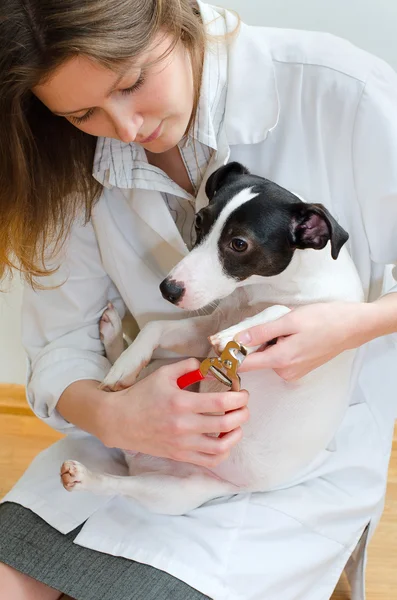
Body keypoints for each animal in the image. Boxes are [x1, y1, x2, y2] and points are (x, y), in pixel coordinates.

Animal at [61, 163, 362, 516]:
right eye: (199, 221)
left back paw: (83, 476)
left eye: (239, 244)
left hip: (177, 492)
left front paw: (238, 333)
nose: (168, 290)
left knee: (121, 485)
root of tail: (135, 455)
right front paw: (126, 364)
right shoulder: (203, 334)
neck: (258, 290)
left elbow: (280, 310)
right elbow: (155, 327)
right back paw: (114, 353)